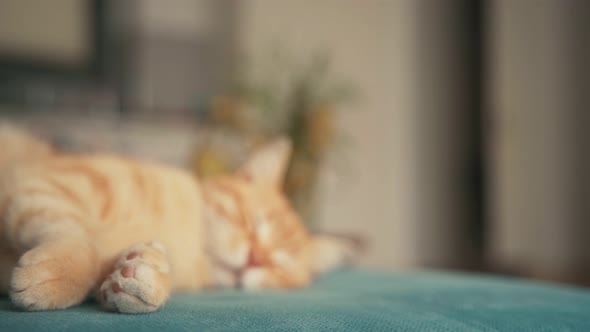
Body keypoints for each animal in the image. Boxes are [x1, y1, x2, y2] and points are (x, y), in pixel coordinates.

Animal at [0, 125, 356, 314]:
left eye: (280, 264)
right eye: (252, 223)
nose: (254, 259)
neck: (191, 249)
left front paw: (143, 272)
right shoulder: (45, 185)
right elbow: (80, 239)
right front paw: (57, 276)